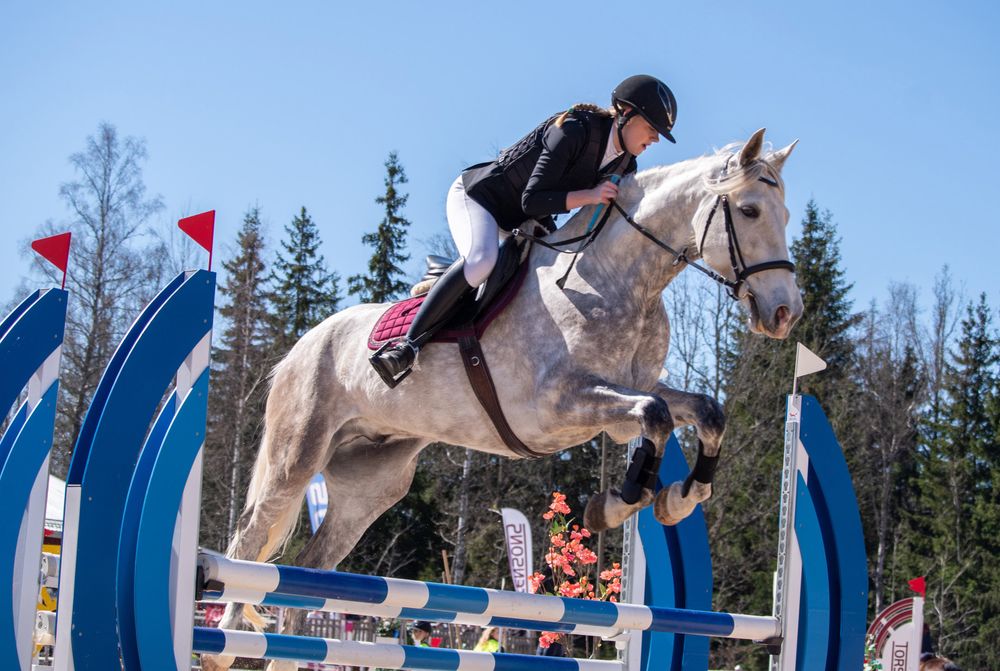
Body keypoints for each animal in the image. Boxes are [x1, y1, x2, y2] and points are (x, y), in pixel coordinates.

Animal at [203, 128, 802, 671]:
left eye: (786, 215)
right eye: (749, 210)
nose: (785, 313)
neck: (614, 280)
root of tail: (301, 345)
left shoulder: (629, 397)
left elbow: (703, 411)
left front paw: (678, 497)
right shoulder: (557, 408)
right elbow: (653, 417)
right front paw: (616, 503)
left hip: (370, 486)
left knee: (305, 574)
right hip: (296, 456)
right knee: (250, 542)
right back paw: (225, 639)